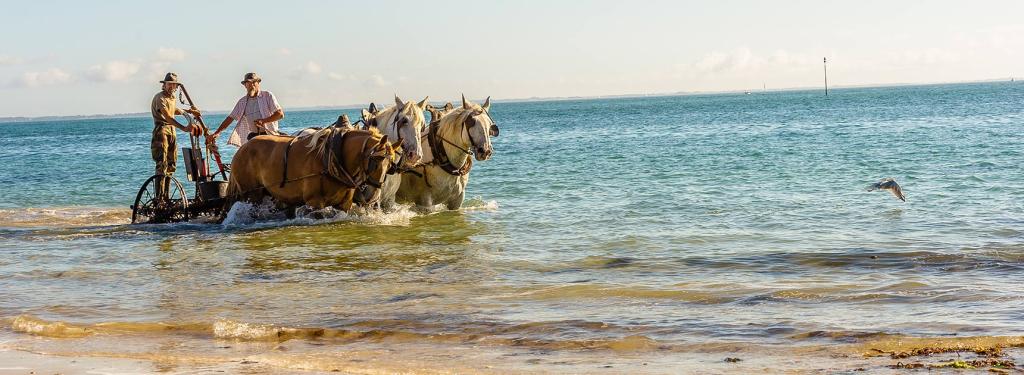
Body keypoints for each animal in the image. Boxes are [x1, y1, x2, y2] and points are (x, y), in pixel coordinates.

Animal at [226, 129, 401, 215]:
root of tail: (243, 148)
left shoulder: (344, 204)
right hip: (252, 194)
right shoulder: (314, 202)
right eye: (375, 160)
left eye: (391, 165)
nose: (373, 193)